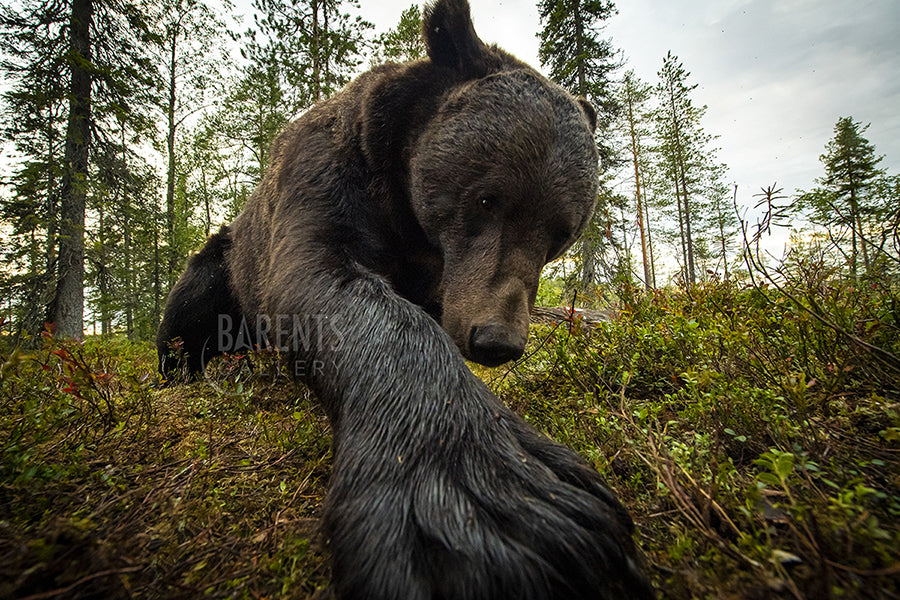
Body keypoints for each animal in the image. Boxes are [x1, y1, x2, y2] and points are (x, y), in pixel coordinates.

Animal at [158, 1, 652, 600]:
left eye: (561, 234)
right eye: (487, 199)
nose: (496, 339)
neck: (408, 219)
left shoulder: (442, 276)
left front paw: (593, 315)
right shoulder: (326, 179)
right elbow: (327, 285)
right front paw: (504, 508)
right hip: (224, 260)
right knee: (189, 305)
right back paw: (187, 368)